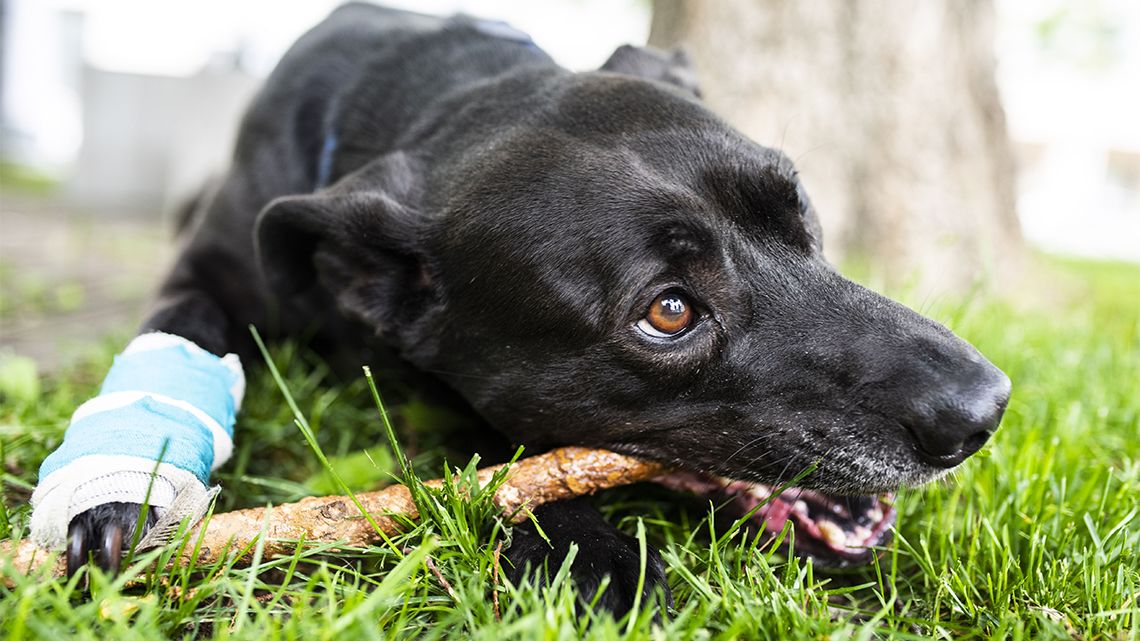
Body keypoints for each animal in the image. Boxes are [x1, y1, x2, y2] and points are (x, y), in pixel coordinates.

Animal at [46, 4, 1007, 611]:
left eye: (799, 209)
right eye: (668, 311)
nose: (982, 409)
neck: (439, 98)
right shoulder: (204, 277)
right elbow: (180, 334)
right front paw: (120, 489)